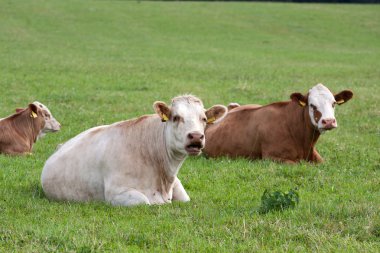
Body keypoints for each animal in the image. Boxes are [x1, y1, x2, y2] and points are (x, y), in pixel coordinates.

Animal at [41, 95, 227, 206]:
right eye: (176, 117)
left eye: (204, 119)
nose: (196, 136)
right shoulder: (116, 193)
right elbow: (144, 201)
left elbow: (185, 199)